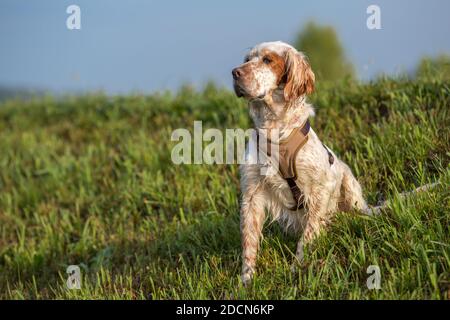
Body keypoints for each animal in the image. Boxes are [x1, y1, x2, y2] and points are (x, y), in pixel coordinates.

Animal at [232, 41, 370, 286]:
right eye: (247, 59)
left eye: (267, 60)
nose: (235, 73)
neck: (276, 131)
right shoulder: (252, 192)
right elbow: (249, 240)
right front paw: (247, 280)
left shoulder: (320, 188)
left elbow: (308, 234)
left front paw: (298, 267)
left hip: (349, 184)